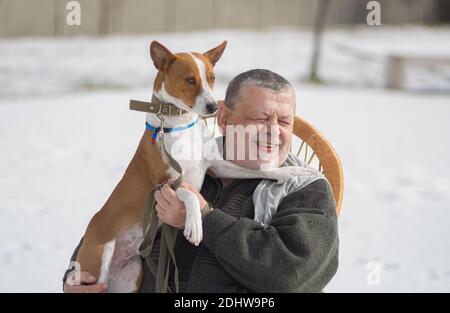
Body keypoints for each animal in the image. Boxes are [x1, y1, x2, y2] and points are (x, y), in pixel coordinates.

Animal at [74, 40, 312, 292]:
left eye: (212, 78)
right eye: (190, 80)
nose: (212, 107)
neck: (181, 126)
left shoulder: (216, 165)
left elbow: (256, 170)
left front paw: (291, 171)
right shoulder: (165, 185)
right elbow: (190, 196)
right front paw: (195, 225)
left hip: (130, 276)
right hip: (98, 265)